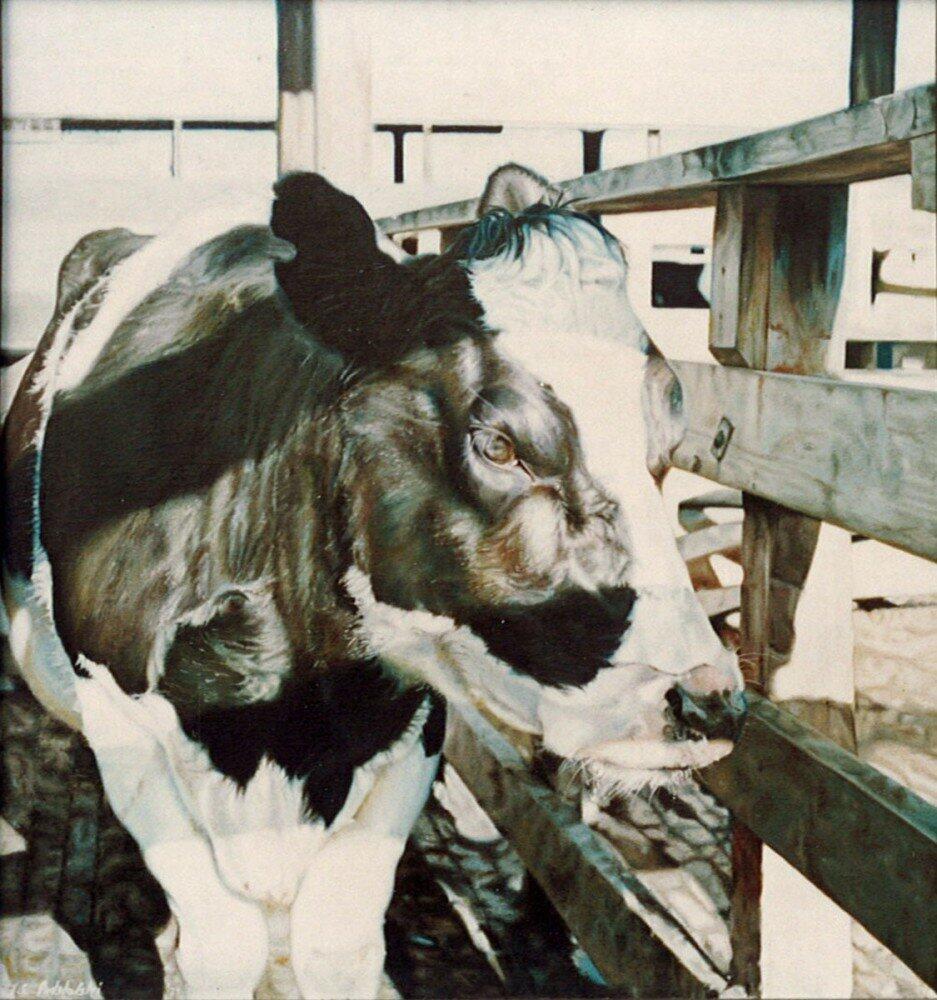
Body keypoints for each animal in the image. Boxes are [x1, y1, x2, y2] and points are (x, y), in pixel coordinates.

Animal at [2, 164, 745, 999]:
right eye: (498, 444)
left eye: (668, 440)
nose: (706, 698)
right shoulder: (121, 720)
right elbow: (221, 944)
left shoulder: (412, 726)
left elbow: (336, 943)